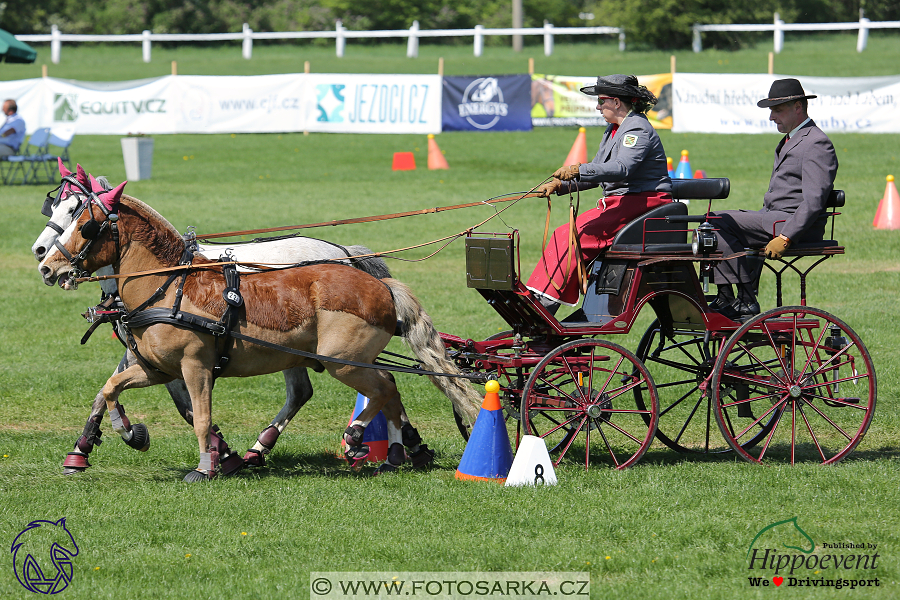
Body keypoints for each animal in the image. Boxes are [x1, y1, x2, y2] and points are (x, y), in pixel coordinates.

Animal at [38, 179, 482, 482]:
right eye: (57, 213)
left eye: (85, 224)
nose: (45, 264)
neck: (169, 286)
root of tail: (379, 283)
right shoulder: (155, 368)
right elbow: (110, 389)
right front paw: (126, 433)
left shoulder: (195, 367)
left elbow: (200, 416)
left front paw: (207, 466)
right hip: (339, 360)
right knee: (385, 387)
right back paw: (394, 453)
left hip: (341, 360)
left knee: (382, 387)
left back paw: (359, 436)